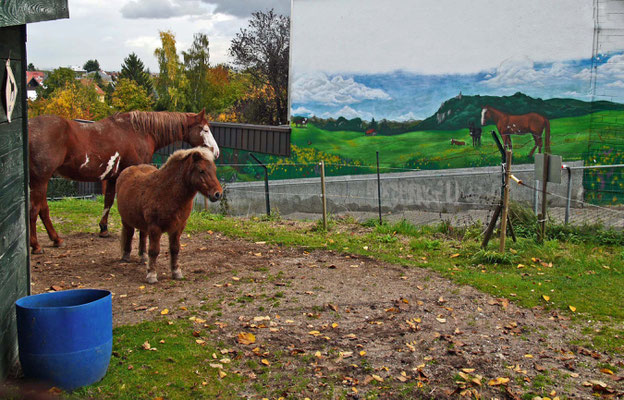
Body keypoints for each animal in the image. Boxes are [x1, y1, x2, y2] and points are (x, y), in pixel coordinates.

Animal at [28, 110, 219, 253]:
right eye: (205, 129)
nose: (216, 152)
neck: (139, 132)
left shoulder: (113, 177)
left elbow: (108, 200)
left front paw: (103, 229)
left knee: (43, 209)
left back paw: (56, 239)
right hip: (41, 180)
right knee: (35, 209)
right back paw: (36, 246)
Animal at [116, 148, 222, 284]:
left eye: (214, 170)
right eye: (201, 171)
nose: (218, 194)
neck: (167, 192)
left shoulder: (178, 228)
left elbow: (175, 249)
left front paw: (176, 272)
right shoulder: (155, 228)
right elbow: (154, 251)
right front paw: (151, 274)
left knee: (142, 235)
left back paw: (143, 257)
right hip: (126, 220)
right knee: (129, 233)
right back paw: (126, 256)